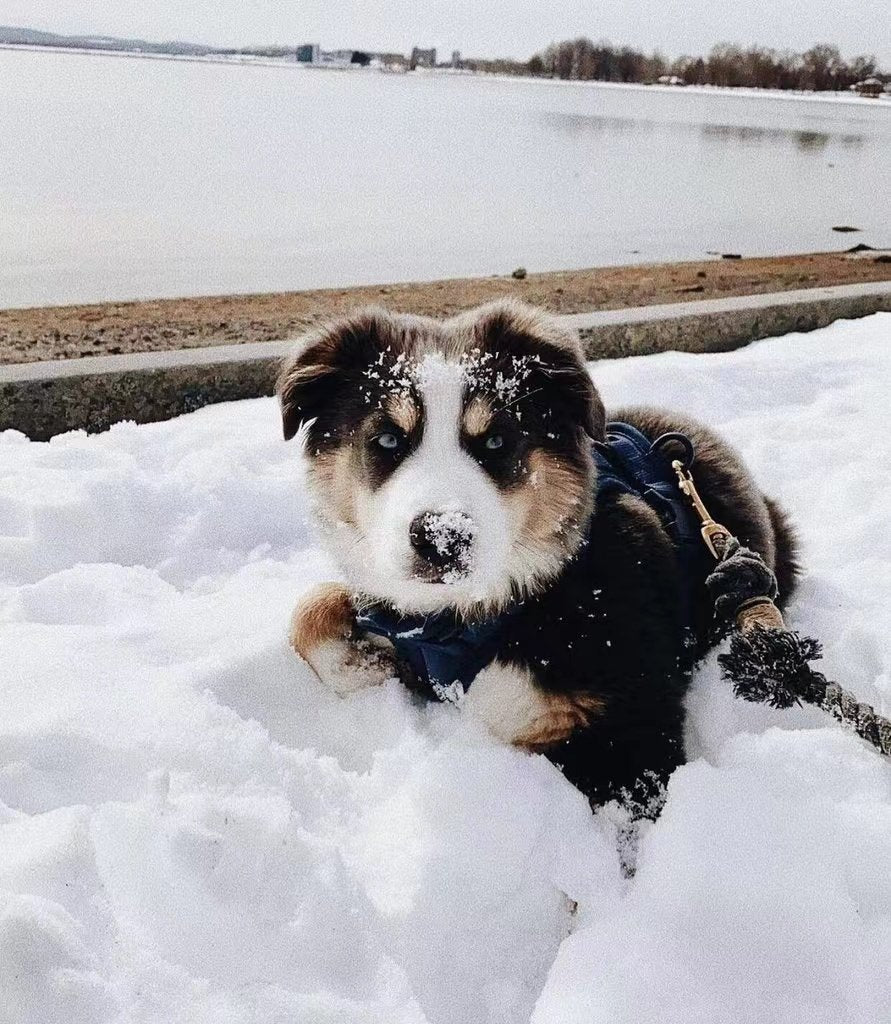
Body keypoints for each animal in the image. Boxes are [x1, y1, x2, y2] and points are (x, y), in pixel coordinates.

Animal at [278, 299, 802, 802]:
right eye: (387, 438)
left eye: (496, 440)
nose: (442, 539)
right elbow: (310, 609)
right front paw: (365, 664)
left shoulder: (634, 734)